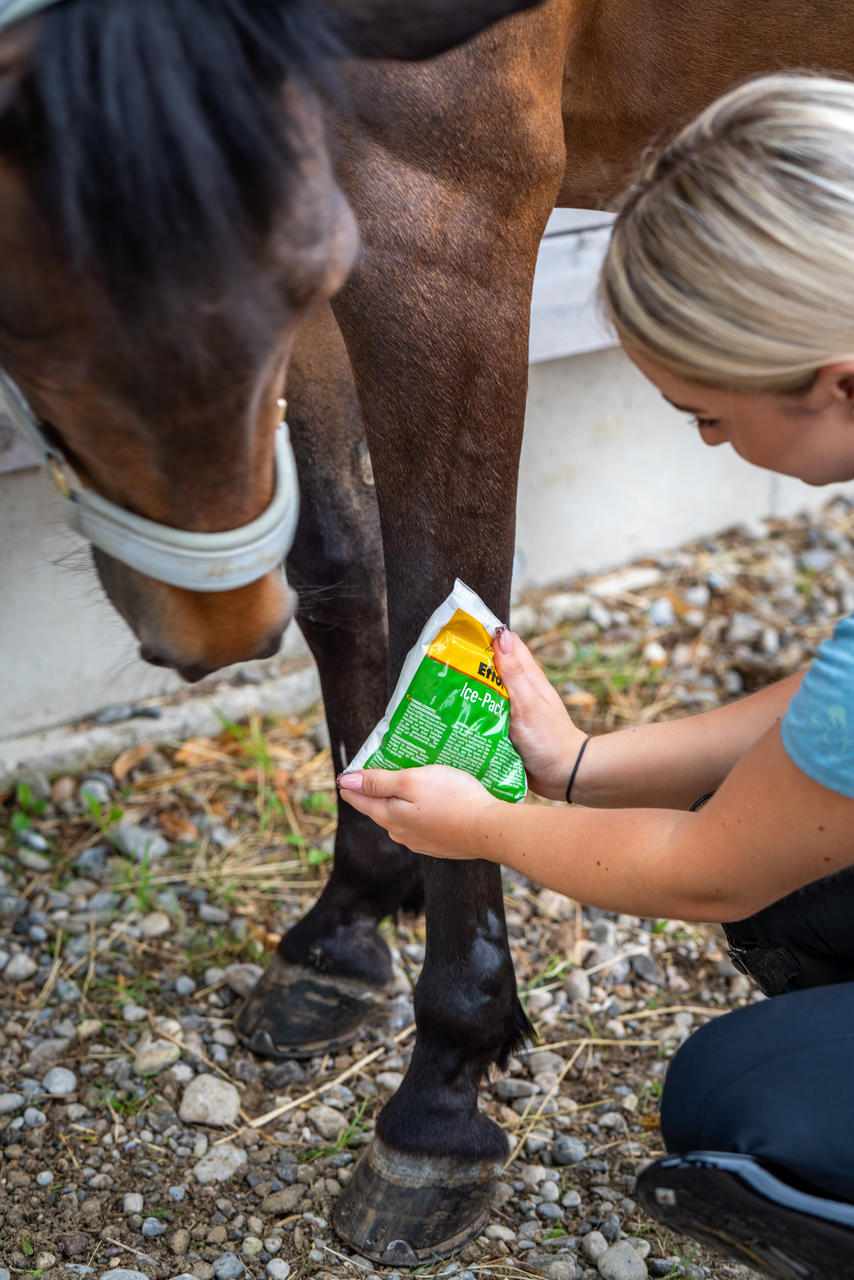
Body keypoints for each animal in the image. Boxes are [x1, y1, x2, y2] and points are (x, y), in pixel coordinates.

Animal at [5, 0, 854, 1264]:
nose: (213, 622)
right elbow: (338, 573)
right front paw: (345, 925)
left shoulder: (442, 217)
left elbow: (439, 588)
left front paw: (439, 1095)